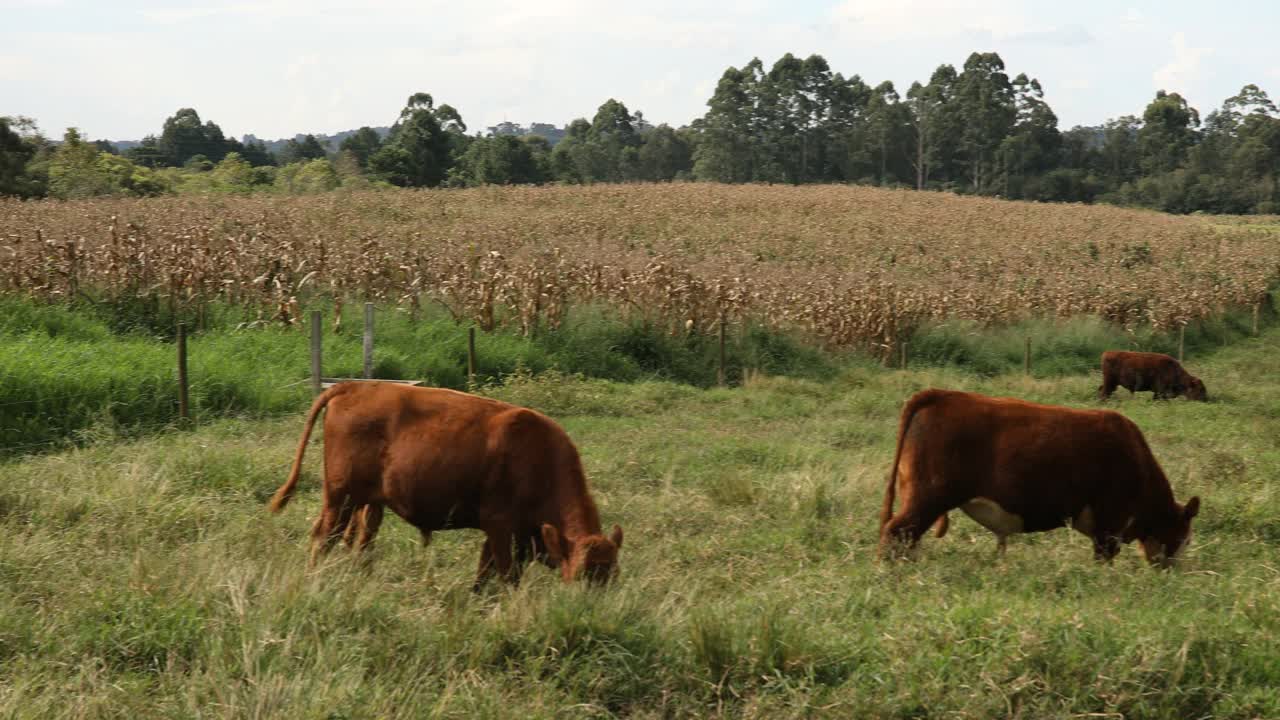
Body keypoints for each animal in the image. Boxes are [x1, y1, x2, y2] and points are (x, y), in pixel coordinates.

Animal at [270, 379, 624, 586]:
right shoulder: (500, 527)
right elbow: (507, 576)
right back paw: (314, 579)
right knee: (324, 537)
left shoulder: (509, 533)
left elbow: (485, 575)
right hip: (339, 497)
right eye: (580, 575)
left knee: (360, 541)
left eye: (613, 574)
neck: (539, 455)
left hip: (368, 502)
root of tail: (353, 386)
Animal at [880, 386, 1198, 566]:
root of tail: (939, 395)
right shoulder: (1109, 523)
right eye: (1186, 538)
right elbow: (1103, 557)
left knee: (905, 537)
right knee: (896, 532)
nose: (1171, 570)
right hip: (928, 497)